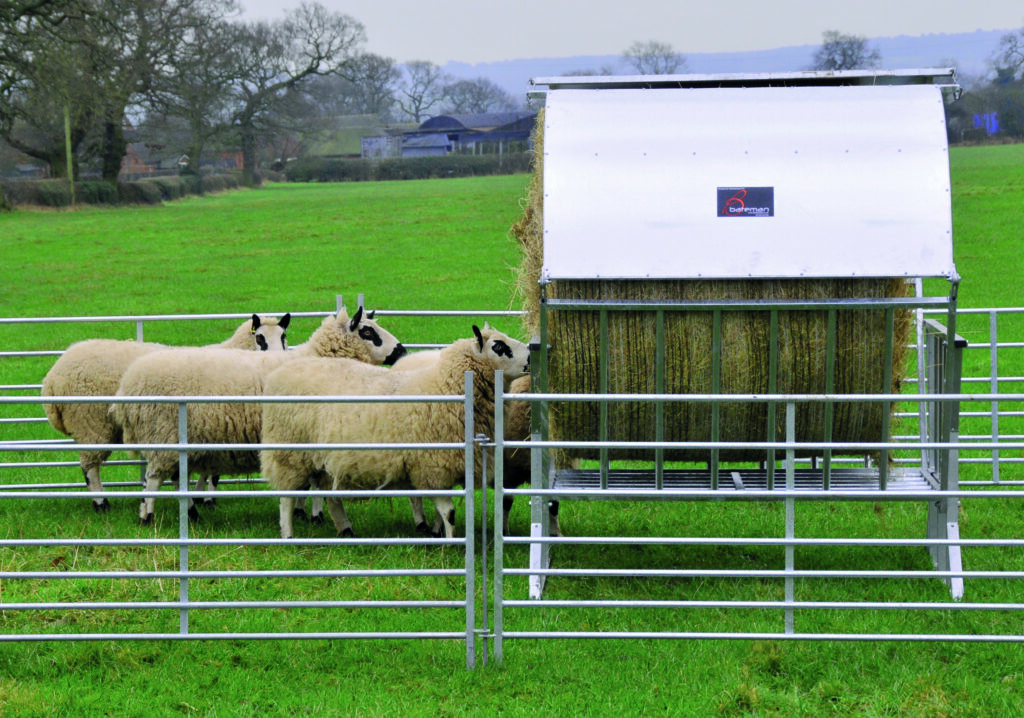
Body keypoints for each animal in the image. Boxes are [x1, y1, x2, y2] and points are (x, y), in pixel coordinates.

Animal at [39, 311, 288, 510]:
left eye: (284, 337)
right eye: (260, 338)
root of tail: (52, 379)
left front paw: (200, 496)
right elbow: (213, 472)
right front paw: (206, 499)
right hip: (91, 423)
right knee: (90, 467)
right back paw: (101, 503)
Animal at [110, 305, 401, 524]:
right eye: (367, 331)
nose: (401, 351)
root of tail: (129, 382)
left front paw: (302, 510)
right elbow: (316, 483)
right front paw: (314, 515)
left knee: (173, 476)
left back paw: (190, 512)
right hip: (162, 432)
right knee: (154, 478)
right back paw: (148, 517)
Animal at [260, 323, 532, 536]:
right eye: (499, 346)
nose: (531, 357)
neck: (444, 386)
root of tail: (279, 372)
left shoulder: (442, 468)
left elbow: (441, 511)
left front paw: (437, 532)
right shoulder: (430, 466)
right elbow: (449, 512)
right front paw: (451, 543)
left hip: (325, 459)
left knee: (331, 497)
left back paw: (346, 531)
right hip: (288, 453)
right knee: (286, 498)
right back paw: (288, 535)